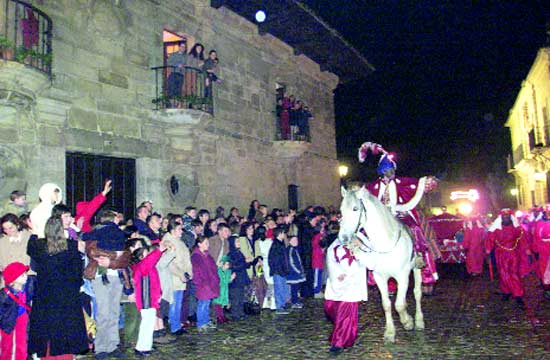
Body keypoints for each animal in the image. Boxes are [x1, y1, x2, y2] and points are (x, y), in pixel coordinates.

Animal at [338, 186, 424, 344]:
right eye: (341, 210)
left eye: (355, 208)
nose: (343, 238)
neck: (386, 242)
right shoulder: (380, 277)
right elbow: (387, 305)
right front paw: (390, 332)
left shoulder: (402, 276)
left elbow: (399, 305)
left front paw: (407, 322)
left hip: (416, 269)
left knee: (417, 292)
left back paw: (419, 321)